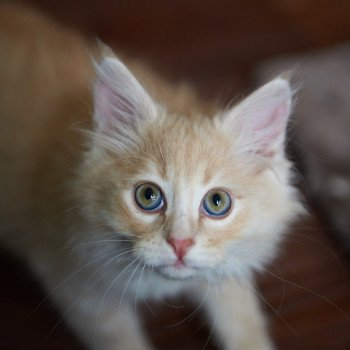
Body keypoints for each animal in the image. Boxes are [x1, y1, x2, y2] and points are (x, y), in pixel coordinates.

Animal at [0, 2, 304, 350]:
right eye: (148, 196)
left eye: (217, 202)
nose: (180, 244)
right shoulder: (75, 285)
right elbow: (122, 341)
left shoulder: (226, 268)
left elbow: (243, 322)